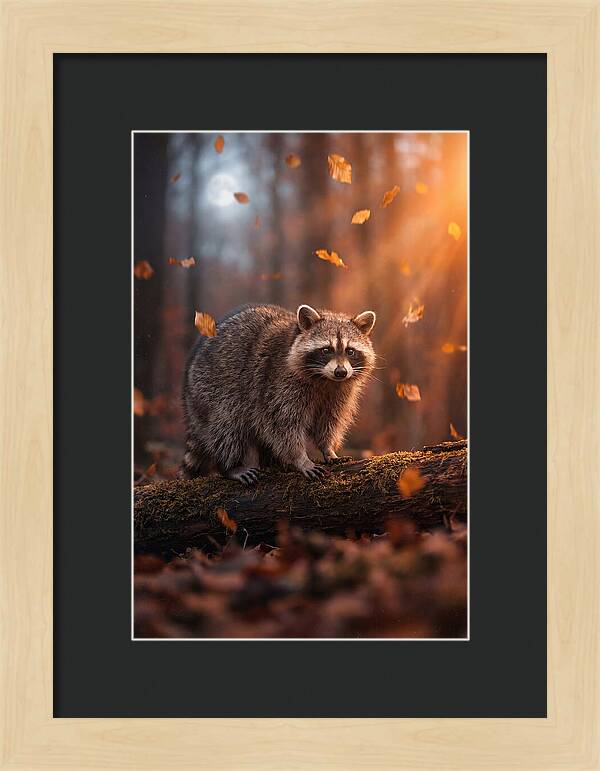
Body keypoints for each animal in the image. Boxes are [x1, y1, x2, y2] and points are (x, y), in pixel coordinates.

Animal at [180, 303, 376, 484]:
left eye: (350, 351)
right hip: (212, 391)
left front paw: (328, 448)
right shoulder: (277, 384)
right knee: (227, 428)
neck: (325, 379)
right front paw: (300, 458)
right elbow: (283, 425)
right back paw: (231, 466)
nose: (340, 372)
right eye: (326, 350)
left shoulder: (339, 393)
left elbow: (329, 421)